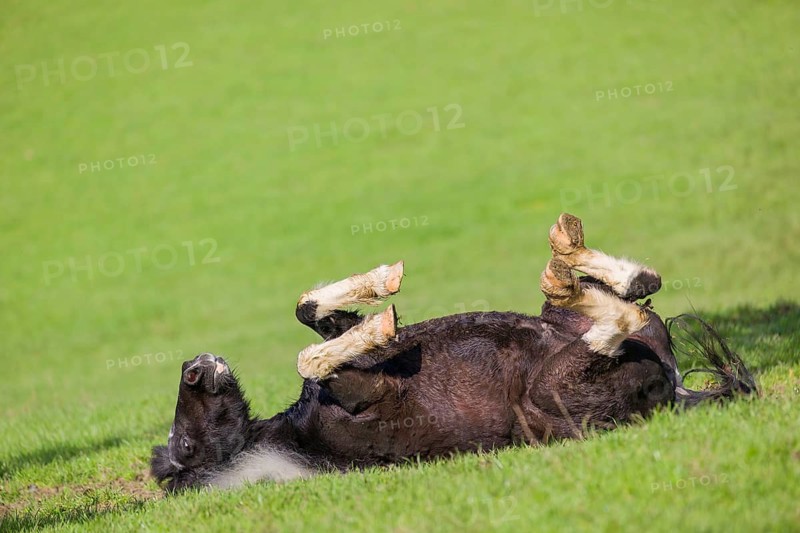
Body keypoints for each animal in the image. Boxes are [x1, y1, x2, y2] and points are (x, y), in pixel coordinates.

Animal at [151, 213, 757, 492]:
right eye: (184, 443)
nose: (194, 367)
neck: (295, 436)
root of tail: (673, 388)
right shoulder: (369, 390)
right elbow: (309, 354)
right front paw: (380, 314)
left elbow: (311, 314)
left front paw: (382, 290)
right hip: (552, 388)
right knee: (619, 317)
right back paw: (566, 267)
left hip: (570, 323)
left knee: (636, 287)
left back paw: (568, 250)